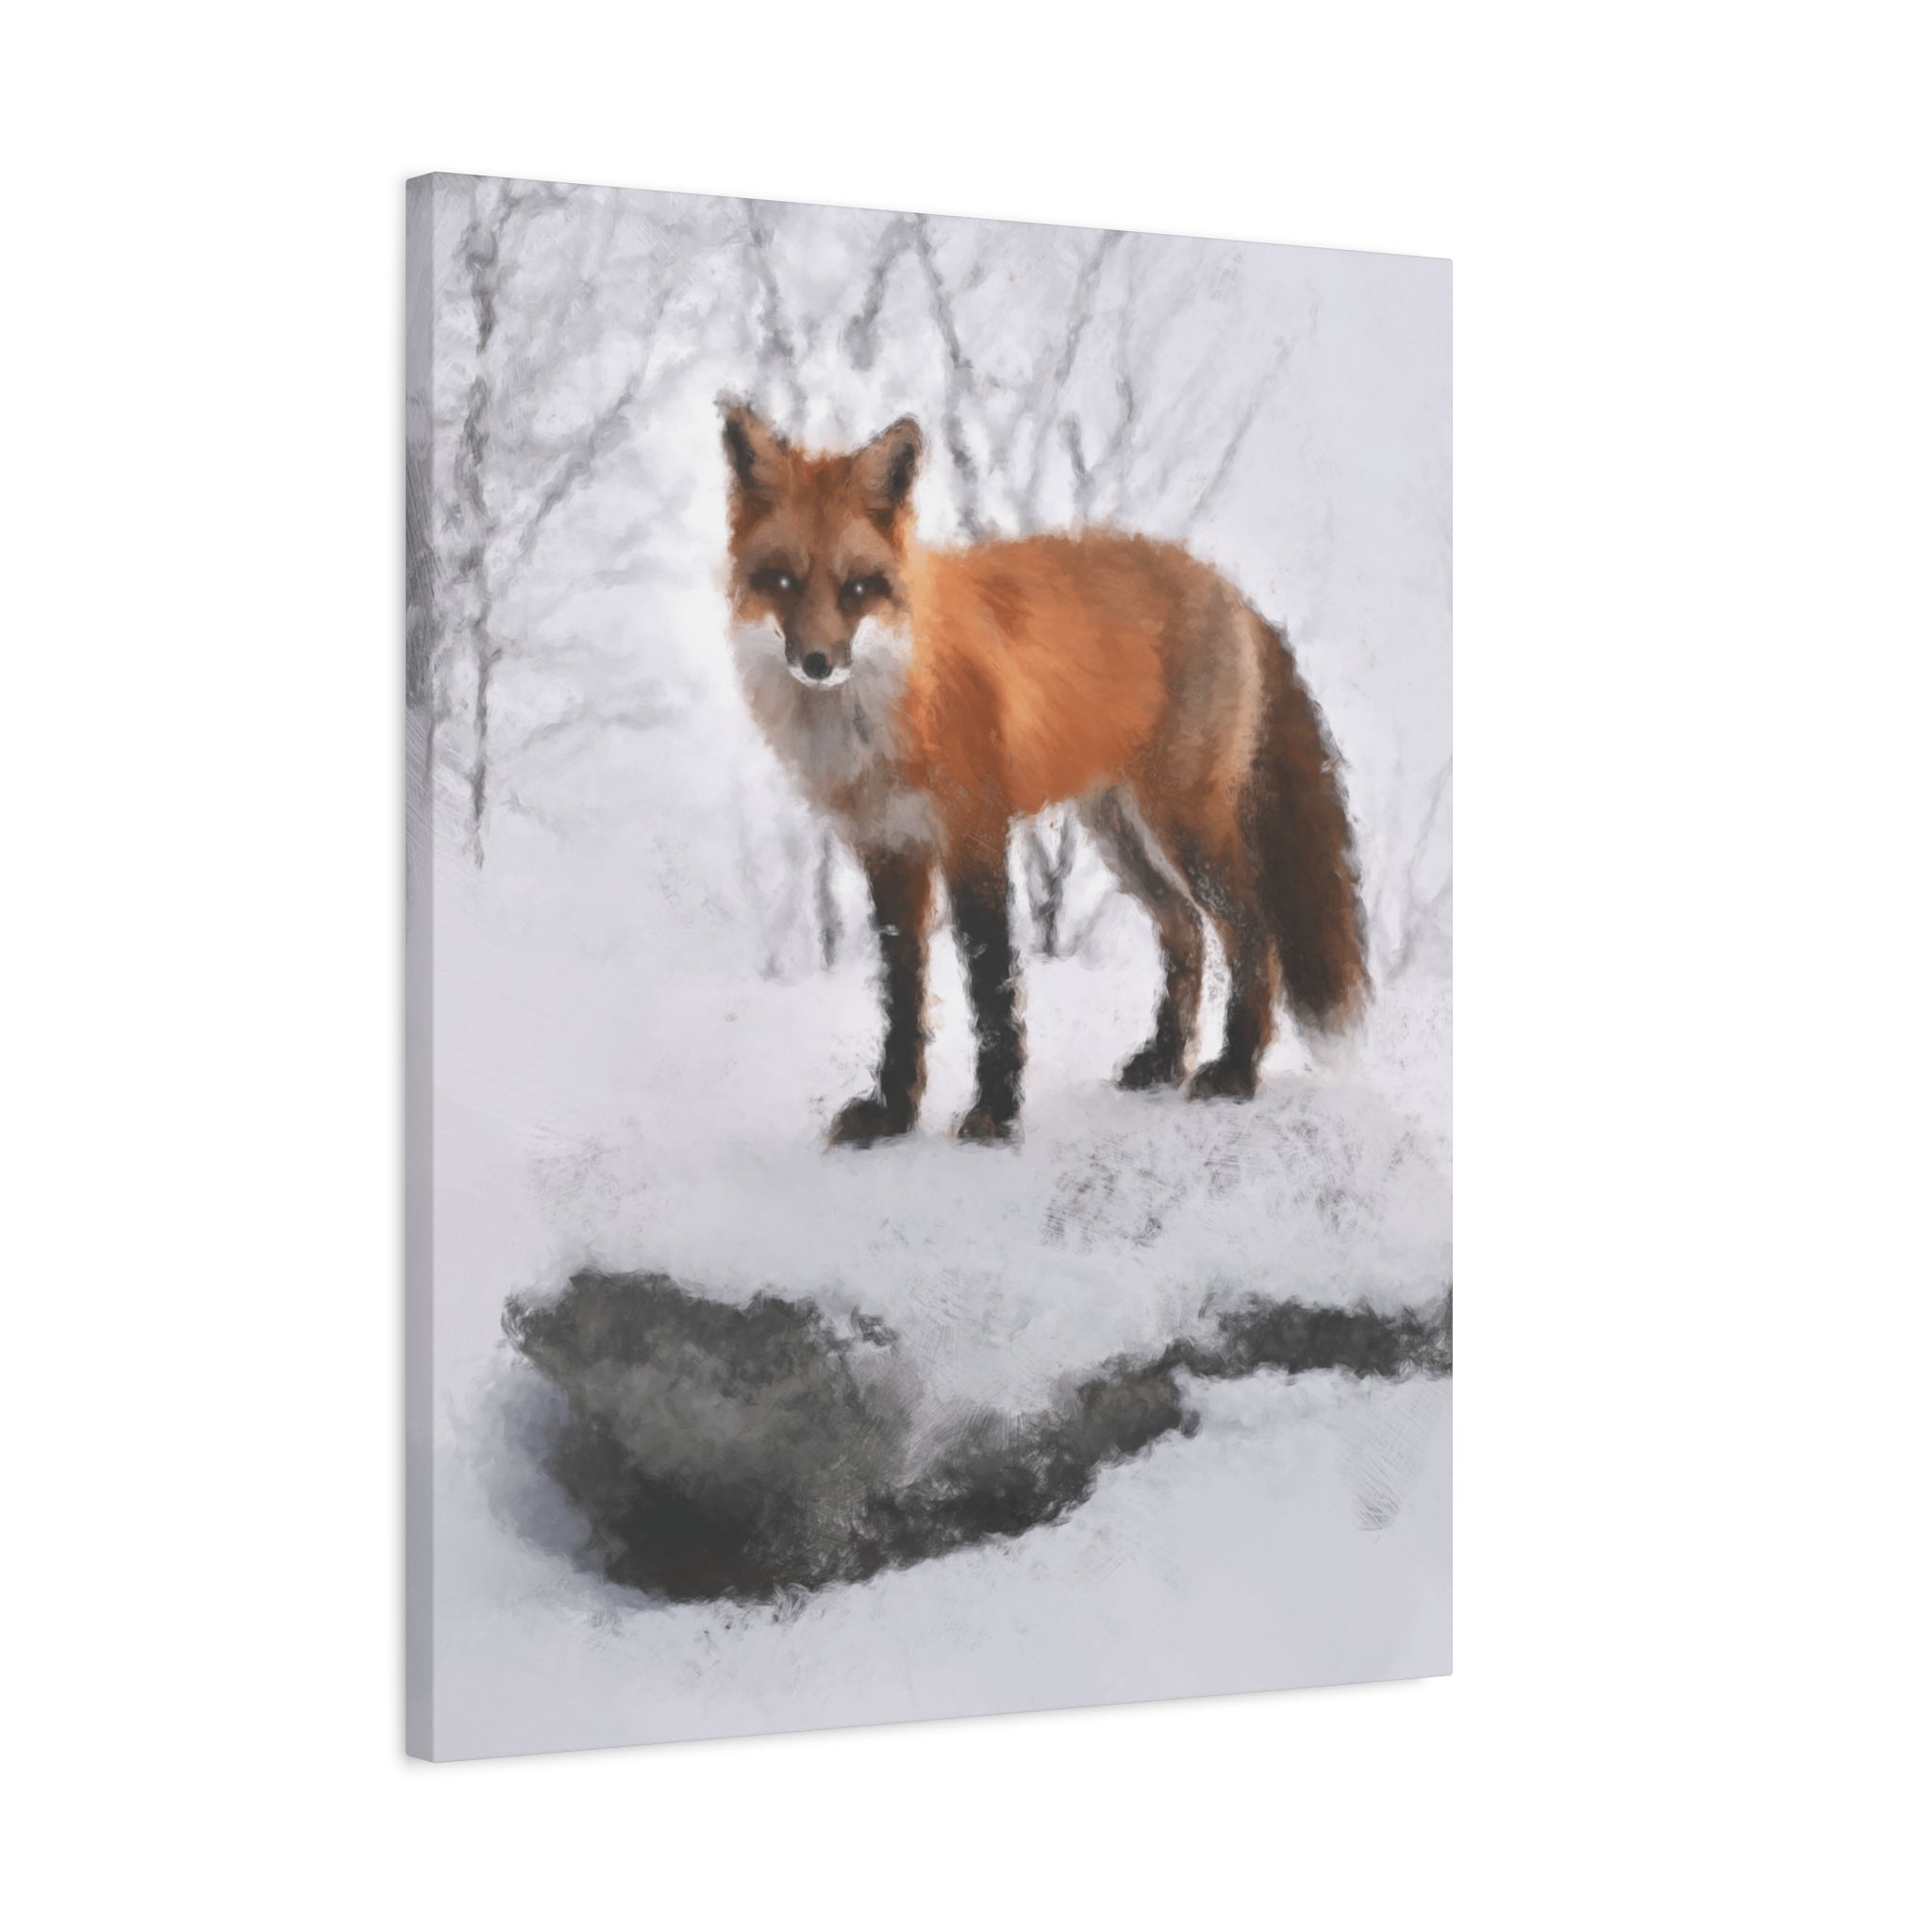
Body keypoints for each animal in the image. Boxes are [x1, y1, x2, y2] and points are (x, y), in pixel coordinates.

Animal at [721, 400, 1368, 1148]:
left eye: (856, 588)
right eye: (783, 581)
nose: (817, 663)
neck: (885, 711)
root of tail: (1228, 587)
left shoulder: (974, 832)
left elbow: (991, 981)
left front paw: (995, 1112)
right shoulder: (890, 848)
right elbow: (903, 996)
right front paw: (892, 1113)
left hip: (1185, 827)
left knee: (1251, 935)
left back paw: (1234, 1071)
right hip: (1122, 836)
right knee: (1185, 934)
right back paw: (1164, 1060)